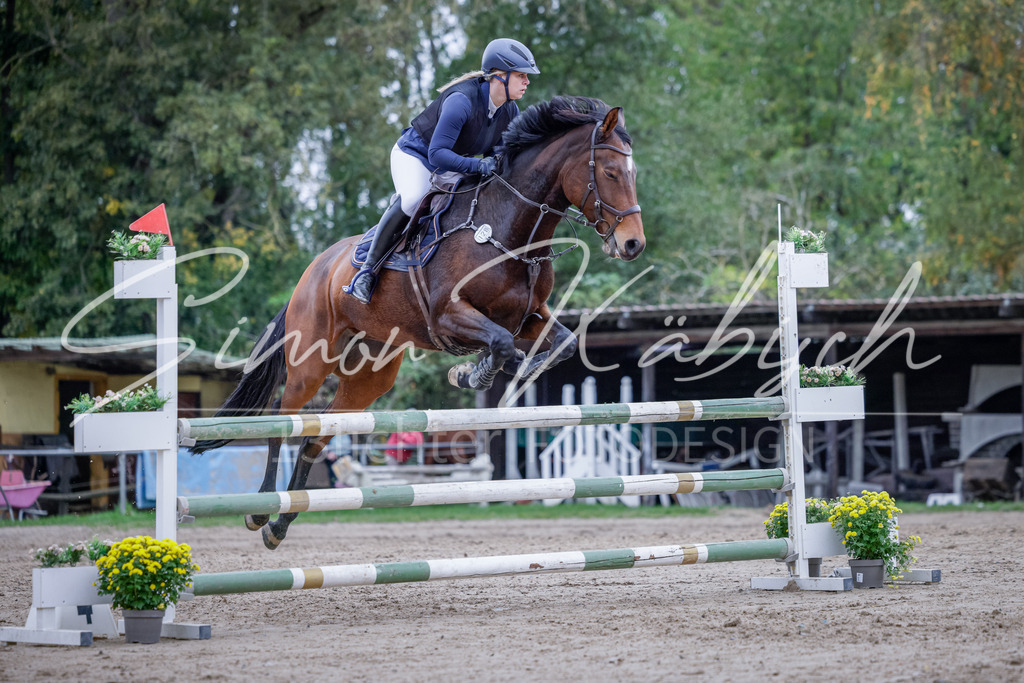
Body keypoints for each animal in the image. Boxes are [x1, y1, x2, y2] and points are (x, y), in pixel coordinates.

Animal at [191, 96, 645, 549]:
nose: (632, 244)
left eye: (632, 173)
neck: (508, 228)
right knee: (280, 423)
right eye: (610, 172)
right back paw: (259, 511)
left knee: (315, 437)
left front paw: (508, 369)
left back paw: (279, 525)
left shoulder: (528, 317)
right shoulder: (450, 315)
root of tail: (313, 272)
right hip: (309, 364)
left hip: (369, 377)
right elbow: (499, 344)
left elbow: (561, 342)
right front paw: (473, 374)